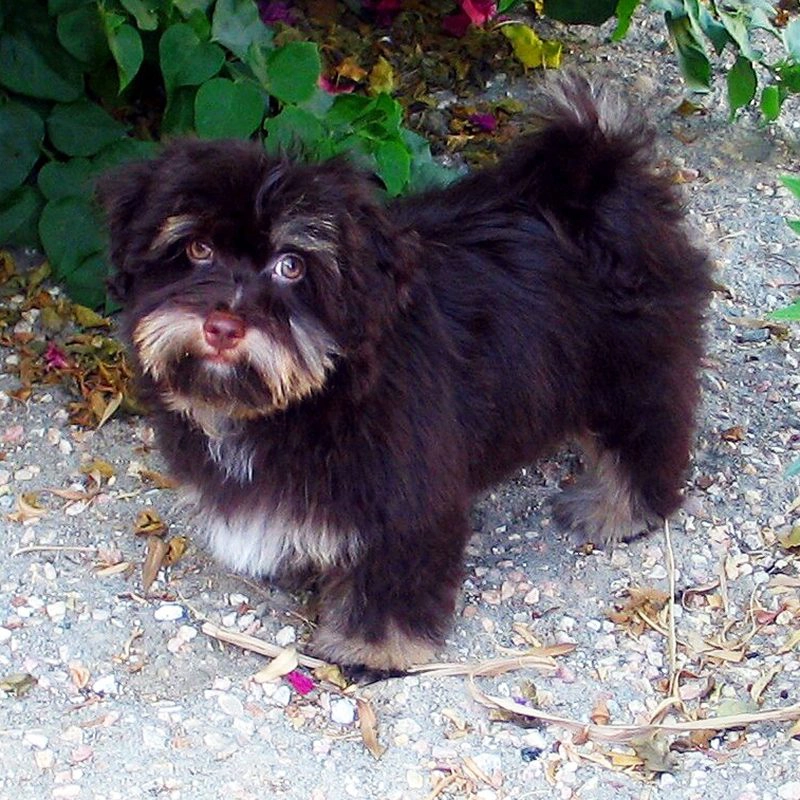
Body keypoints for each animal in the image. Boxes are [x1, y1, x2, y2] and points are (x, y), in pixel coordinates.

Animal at [98, 75, 712, 672]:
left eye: (291, 265)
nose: (222, 326)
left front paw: (372, 648)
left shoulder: (401, 491)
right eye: (198, 248)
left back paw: (620, 508)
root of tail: (592, 177)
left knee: (647, 432)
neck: (314, 392)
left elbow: (391, 569)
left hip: (631, 365)